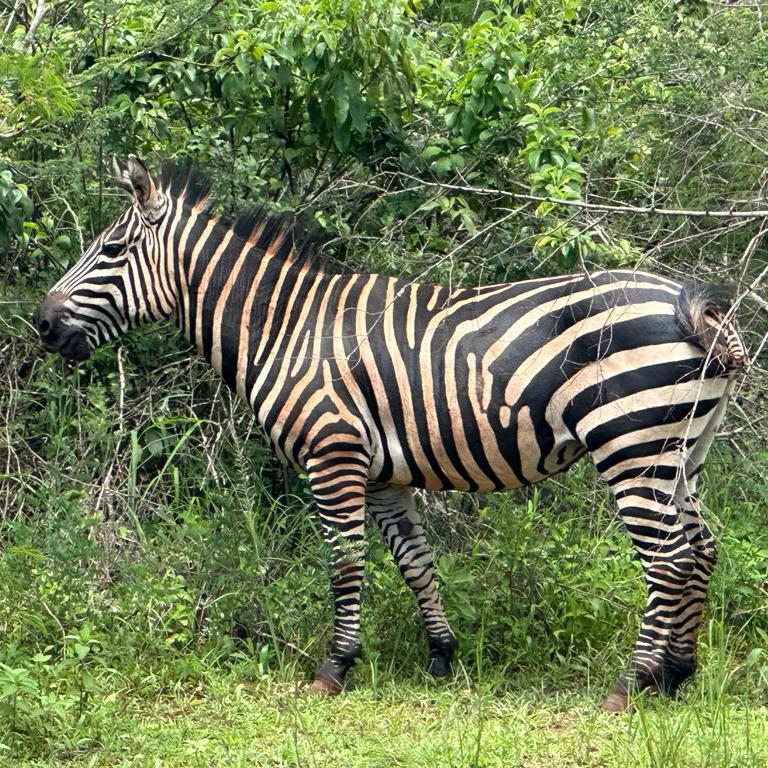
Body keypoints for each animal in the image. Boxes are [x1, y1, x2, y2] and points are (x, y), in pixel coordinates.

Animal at [37, 158, 744, 712]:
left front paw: (334, 668)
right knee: (700, 549)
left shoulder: (333, 453)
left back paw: (632, 684)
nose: (42, 323)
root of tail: (695, 304)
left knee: (666, 558)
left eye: (109, 252)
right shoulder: (382, 474)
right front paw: (442, 655)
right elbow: (414, 561)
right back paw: (678, 676)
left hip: (632, 444)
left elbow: (345, 561)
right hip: (683, 451)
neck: (286, 327)